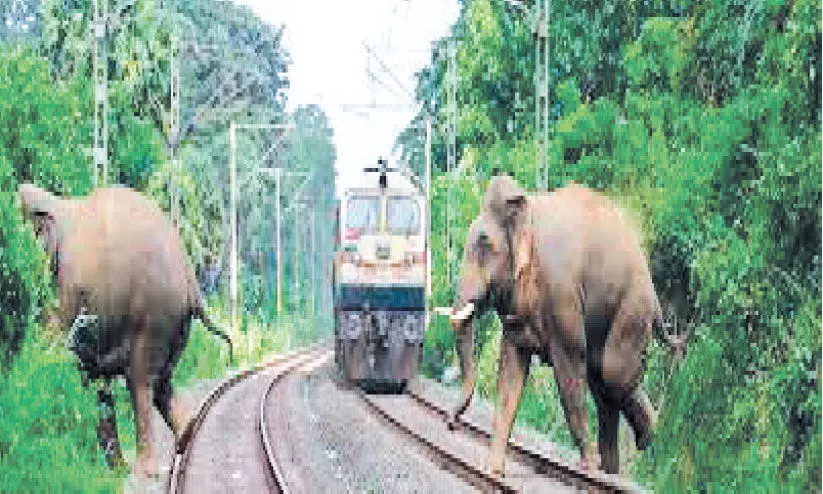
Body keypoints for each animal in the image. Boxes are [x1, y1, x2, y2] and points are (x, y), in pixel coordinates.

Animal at [18, 183, 233, 480]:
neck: (55, 203)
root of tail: (190, 275)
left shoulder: (69, 285)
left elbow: (61, 341)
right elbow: (94, 379)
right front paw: (114, 472)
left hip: (154, 313)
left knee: (140, 381)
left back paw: (145, 471)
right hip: (175, 323)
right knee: (162, 382)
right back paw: (183, 436)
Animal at [448, 175, 684, 476]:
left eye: (484, 244)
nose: (451, 423)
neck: (527, 207)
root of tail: (655, 299)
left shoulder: (561, 290)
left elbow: (568, 365)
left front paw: (586, 465)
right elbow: (511, 370)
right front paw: (492, 472)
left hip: (632, 307)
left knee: (610, 373)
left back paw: (638, 442)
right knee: (601, 379)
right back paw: (613, 467)